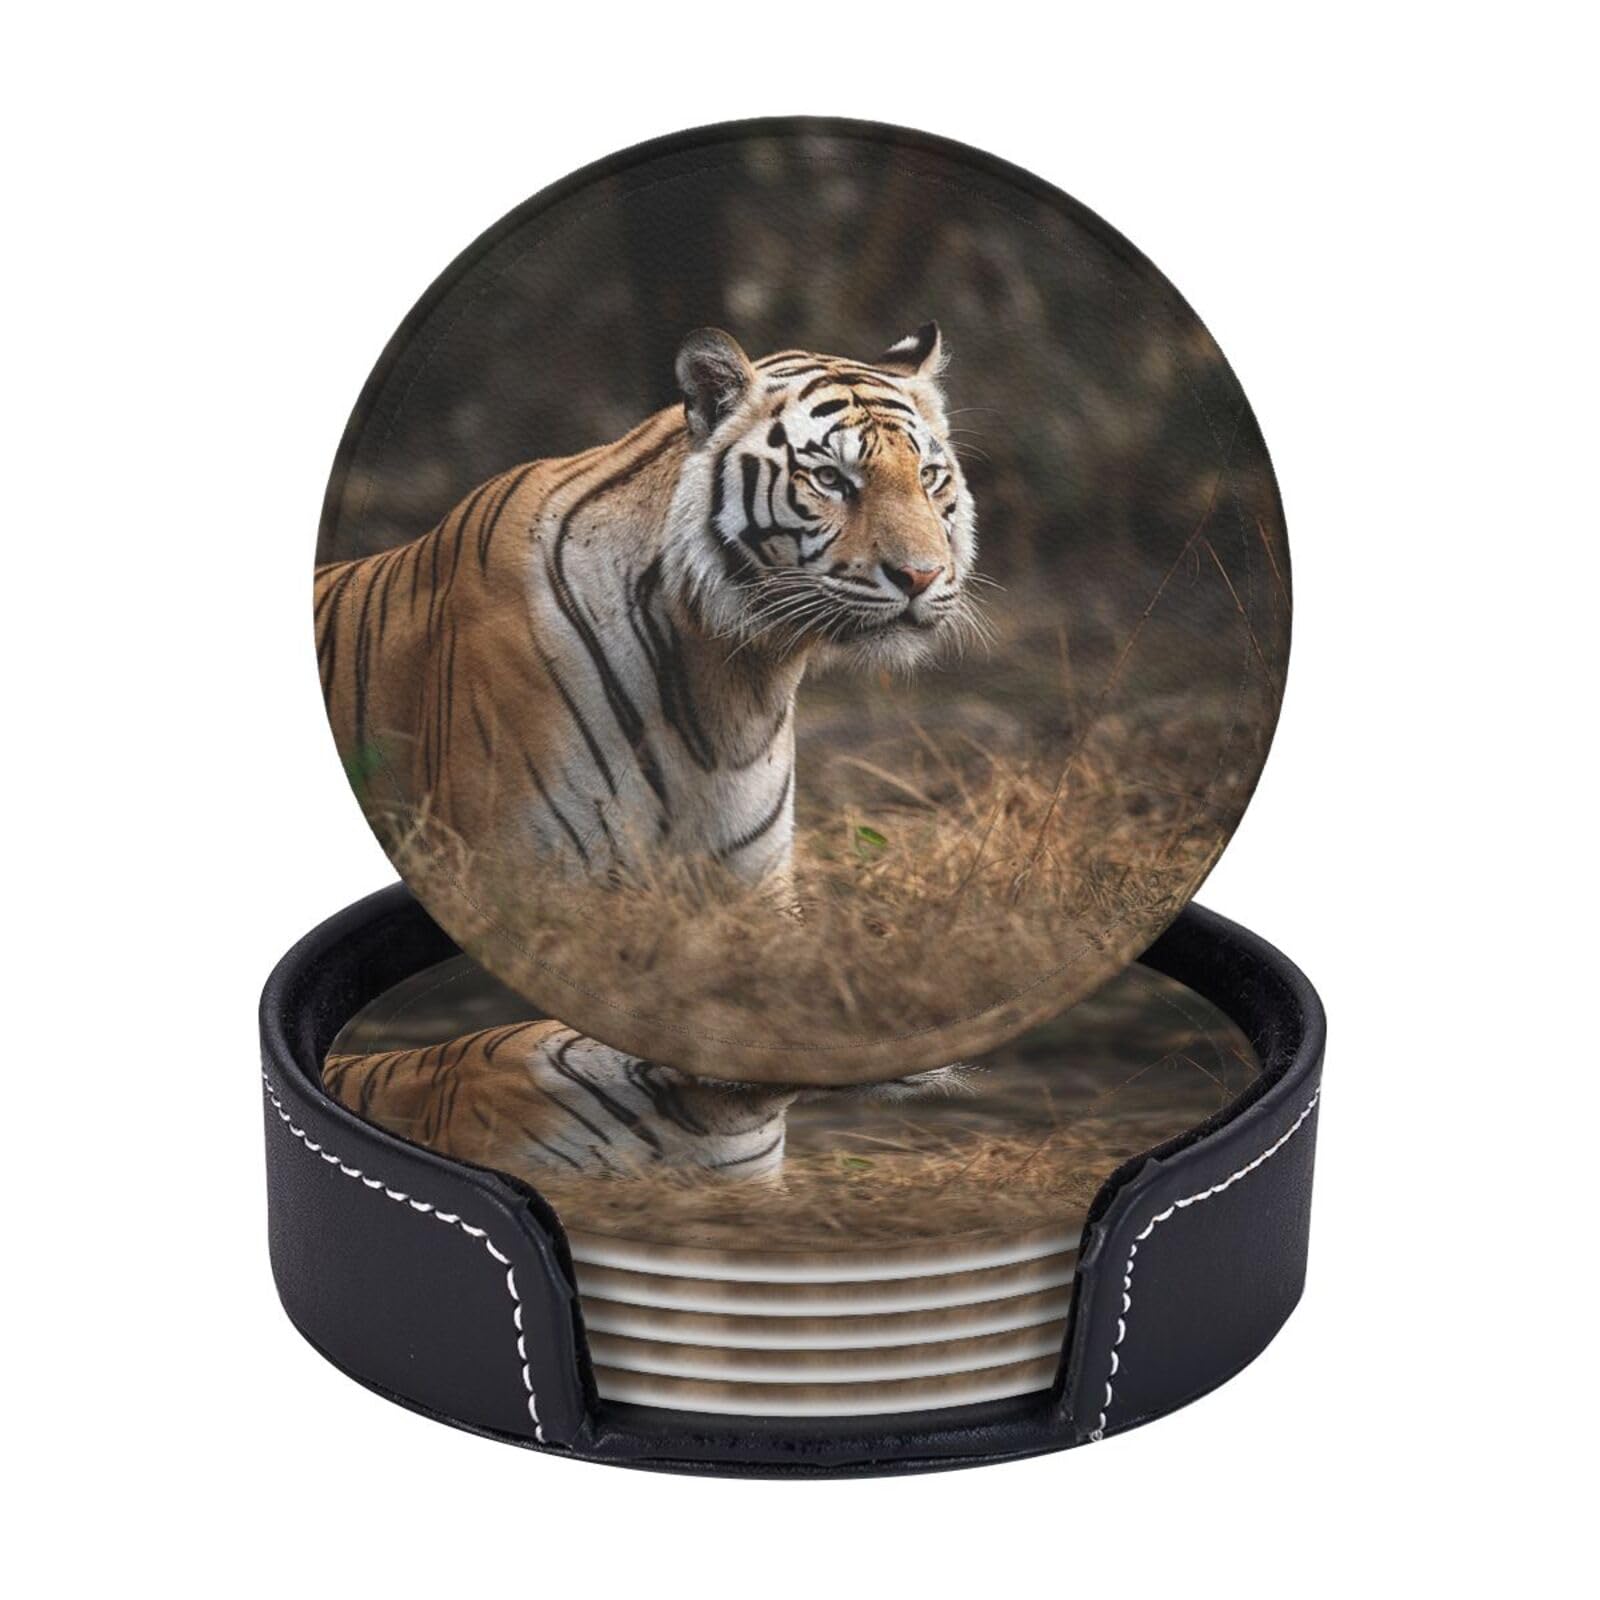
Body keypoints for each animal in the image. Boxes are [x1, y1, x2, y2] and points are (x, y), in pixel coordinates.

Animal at [316, 323, 978, 1175]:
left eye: (929, 475)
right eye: (832, 479)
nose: (923, 575)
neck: (726, 677)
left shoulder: (746, 891)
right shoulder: (530, 887)